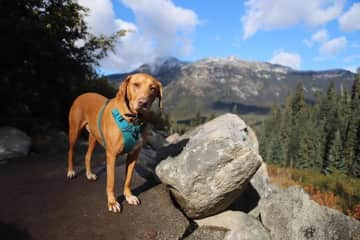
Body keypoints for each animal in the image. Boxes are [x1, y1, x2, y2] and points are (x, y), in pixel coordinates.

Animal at [67, 72, 162, 212]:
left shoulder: (134, 155)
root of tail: (83, 94)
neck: (132, 120)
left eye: (153, 88)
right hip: (74, 131)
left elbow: (128, 179)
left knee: (88, 156)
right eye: (135, 85)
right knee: (70, 151)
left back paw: (89, 174)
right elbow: (111, 182)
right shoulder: (111, 155)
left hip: (94, 137)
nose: (143, 103)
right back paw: (70, 171)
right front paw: (112, 202)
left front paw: (129, 196)